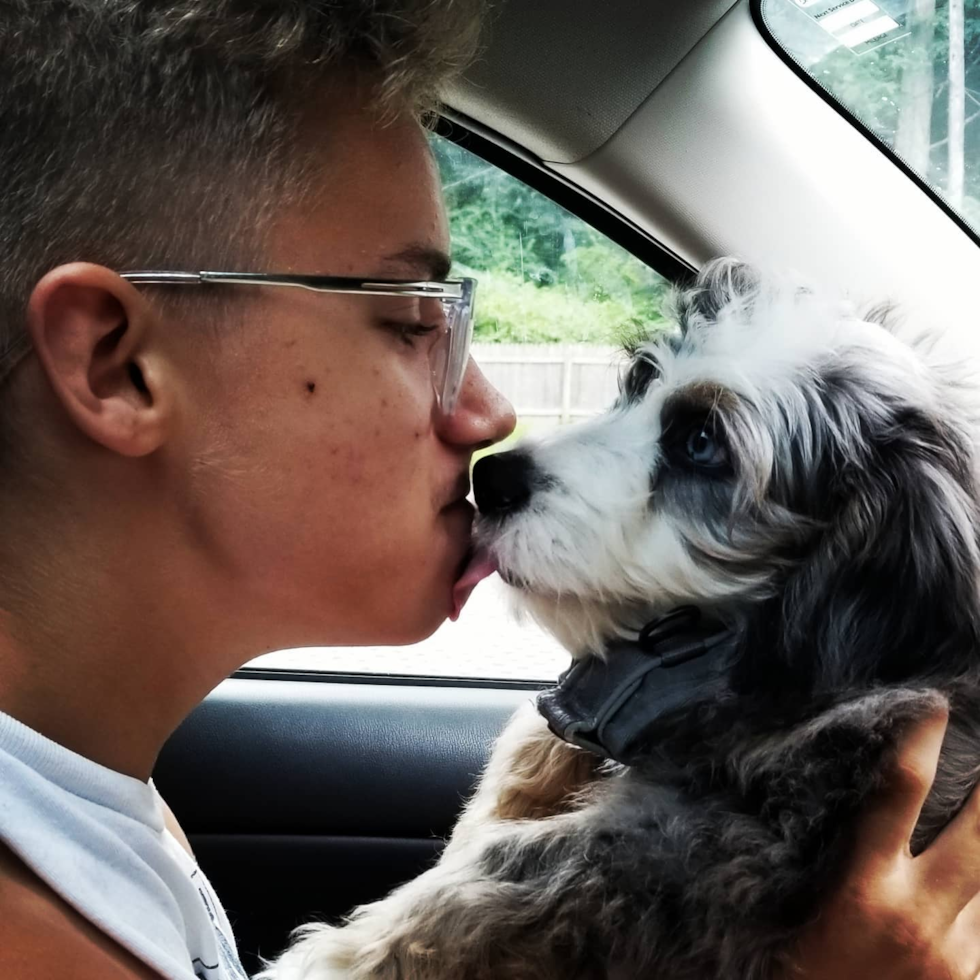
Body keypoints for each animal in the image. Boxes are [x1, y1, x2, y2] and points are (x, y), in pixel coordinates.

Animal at [264, 258, 980, 980]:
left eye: (701, 442)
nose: (490, 480)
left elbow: (529, 859)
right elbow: (533, 747)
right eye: (639, 380)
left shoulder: (743, 844)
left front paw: (335, 957)